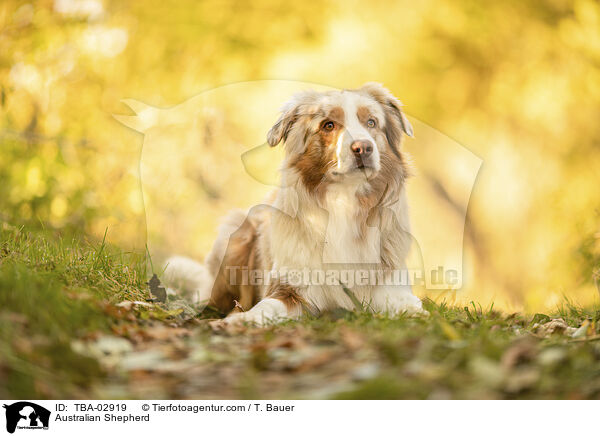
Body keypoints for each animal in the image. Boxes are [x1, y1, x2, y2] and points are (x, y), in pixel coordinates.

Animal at [164, 83, 424, 326]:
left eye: (371, 122)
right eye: (328, 125)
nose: (364, 148)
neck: (344, 202)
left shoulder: (390, 287)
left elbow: (410, 307)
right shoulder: (291, 289)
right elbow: (265, 307)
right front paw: (241, 320)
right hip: (235, 236)